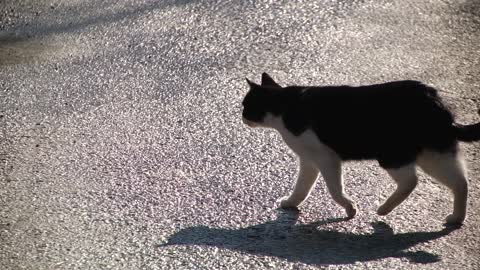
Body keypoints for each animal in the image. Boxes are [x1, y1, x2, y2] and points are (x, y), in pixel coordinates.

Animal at [242, 73, 480, 225]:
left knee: (411, 181)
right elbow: (302, 187)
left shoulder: (326, 157)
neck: (285, 107)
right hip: (434, 155)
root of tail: (437, 103)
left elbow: (334, 190)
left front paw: (349, 208)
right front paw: (291, 203)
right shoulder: (309, 160)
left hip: (393, 155)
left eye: (245, 106)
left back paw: (384, 209)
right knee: (461, 182)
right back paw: (457, 218)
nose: (242, 117)